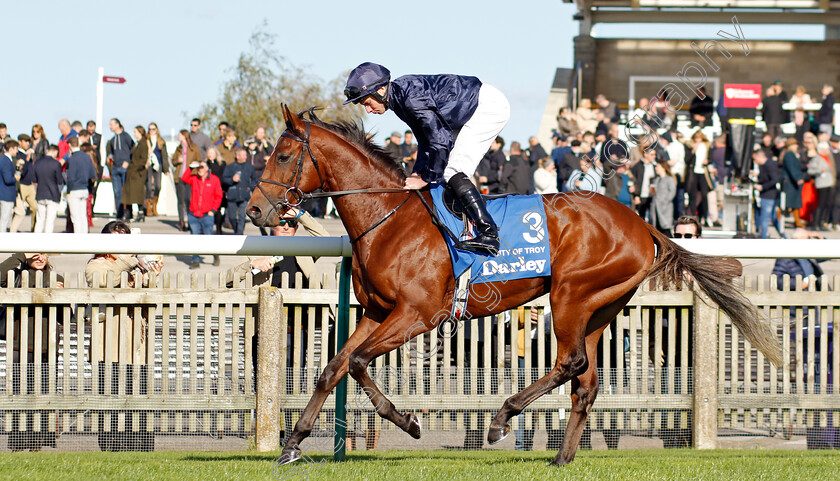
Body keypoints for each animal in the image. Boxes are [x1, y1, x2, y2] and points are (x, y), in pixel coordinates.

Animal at [246, 106, 784, 464]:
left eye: (283, 154)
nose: (253, 210)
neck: (389, 218)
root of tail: (642, 223)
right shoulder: (376, 313)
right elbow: (332, 368)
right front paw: (292, 444)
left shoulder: (416, 315)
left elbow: (357, 362)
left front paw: (411, 422)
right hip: (599, 307)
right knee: (587, 380)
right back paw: (562, 457)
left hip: (570, 295)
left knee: (570, 363)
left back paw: (502, 419)